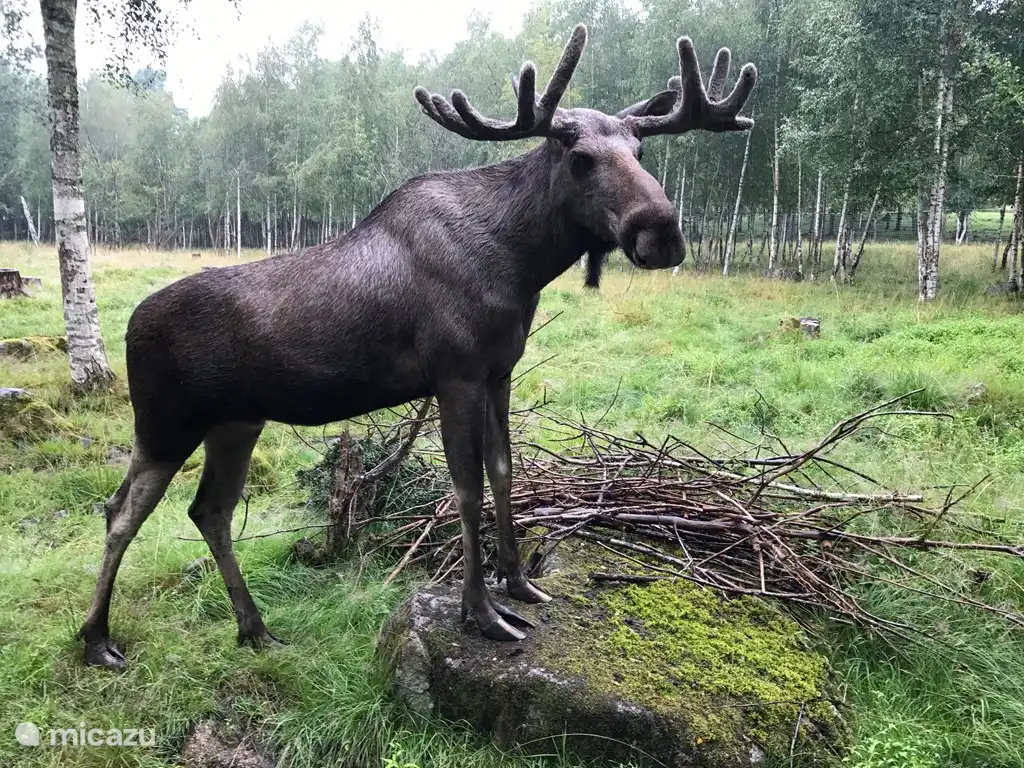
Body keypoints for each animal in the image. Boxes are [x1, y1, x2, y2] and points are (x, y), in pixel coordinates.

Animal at [77, 24, 757, 670]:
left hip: (236, 421)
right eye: (581, 159)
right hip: (166, 421)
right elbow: (467, 489)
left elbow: (504, 474)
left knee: (207, 511)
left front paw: (519, 585)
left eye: (640, 149)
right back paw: (97, 639)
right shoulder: (456, 373)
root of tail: (130, 326)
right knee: (121, 510)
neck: (522, 264)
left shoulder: (499, 372)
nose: (661, 231)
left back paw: (254, 628)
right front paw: (482, 614)